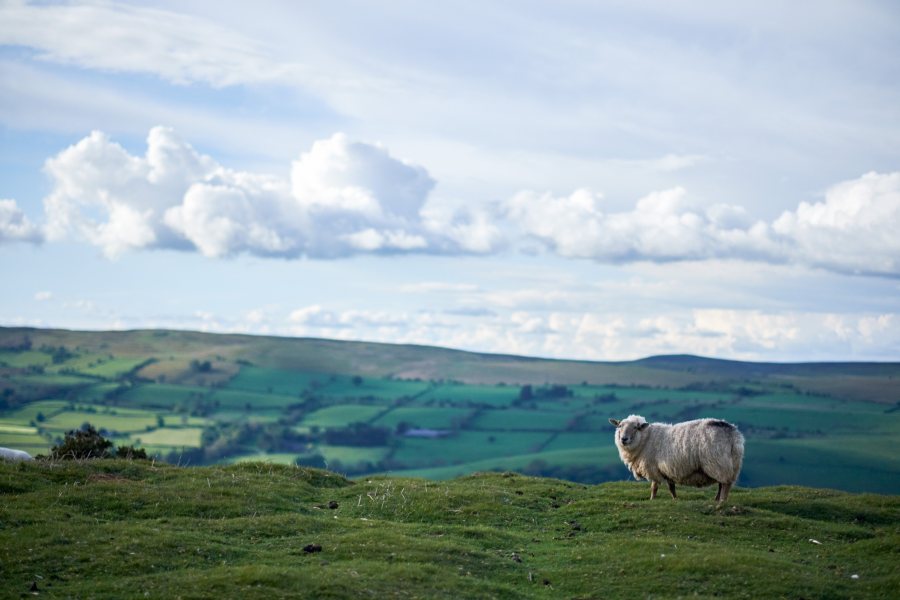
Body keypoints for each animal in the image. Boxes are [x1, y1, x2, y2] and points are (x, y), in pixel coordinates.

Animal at [612, 412, 744, 502]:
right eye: (620, 426)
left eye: (635, 427)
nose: (623, 439)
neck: (646, 439)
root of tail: (732, 433)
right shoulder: (668, 470)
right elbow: (672, 488)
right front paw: (675, 499)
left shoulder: (653, 468)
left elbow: (654, 487)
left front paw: (652, 500)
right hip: (731, 464)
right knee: (722, 484)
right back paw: (716, 499)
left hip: (718, 463)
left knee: (725, 485)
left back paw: (721, 501)